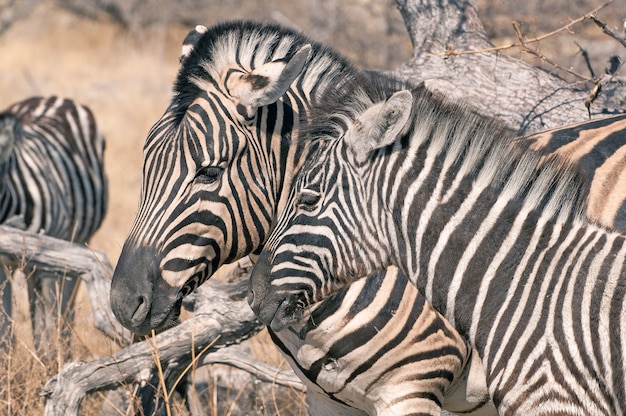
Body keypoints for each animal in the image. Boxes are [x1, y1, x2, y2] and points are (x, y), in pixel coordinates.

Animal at [0, 96, 107, 352]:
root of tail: (56, 98)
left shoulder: (48, 260)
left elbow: (48, 322)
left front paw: (49, 360)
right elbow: (5, 328)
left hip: (74, 245)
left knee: (63, 311)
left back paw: (63, 352)